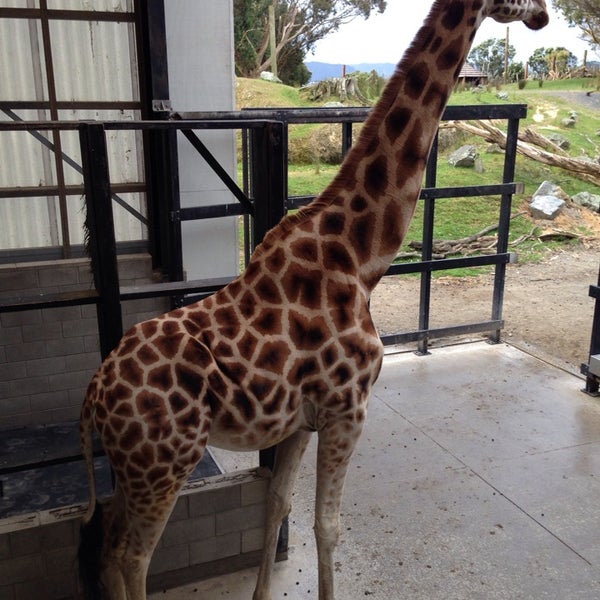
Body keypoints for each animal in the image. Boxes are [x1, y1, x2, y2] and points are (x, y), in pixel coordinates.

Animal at [78, 2, 548, 596]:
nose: (543, 15)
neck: (360, 256)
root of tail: (92, 397)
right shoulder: (348, 407)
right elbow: (328, 525)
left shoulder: (303, 419)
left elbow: (278, 504)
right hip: (164, 463)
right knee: (131, 555)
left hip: (130, 470)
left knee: (104, 544)